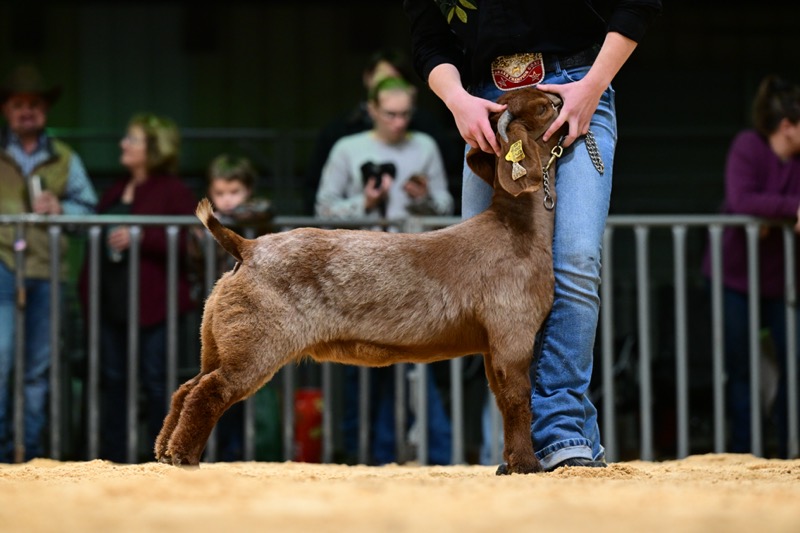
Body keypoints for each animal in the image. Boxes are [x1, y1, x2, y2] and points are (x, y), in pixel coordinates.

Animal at [156, 87, 564, 474]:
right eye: (544, 108)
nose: (562, 99)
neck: (517, 228)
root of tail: (247, 247)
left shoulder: (491, 347)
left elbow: (502, 399)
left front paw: (511, 464)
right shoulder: (512, 334)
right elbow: (517, 399)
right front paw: (526, 465)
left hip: (216, 340)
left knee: (186, 387)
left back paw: (162, 452)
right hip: (255, 344)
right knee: (209, 391)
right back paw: (183, 456)